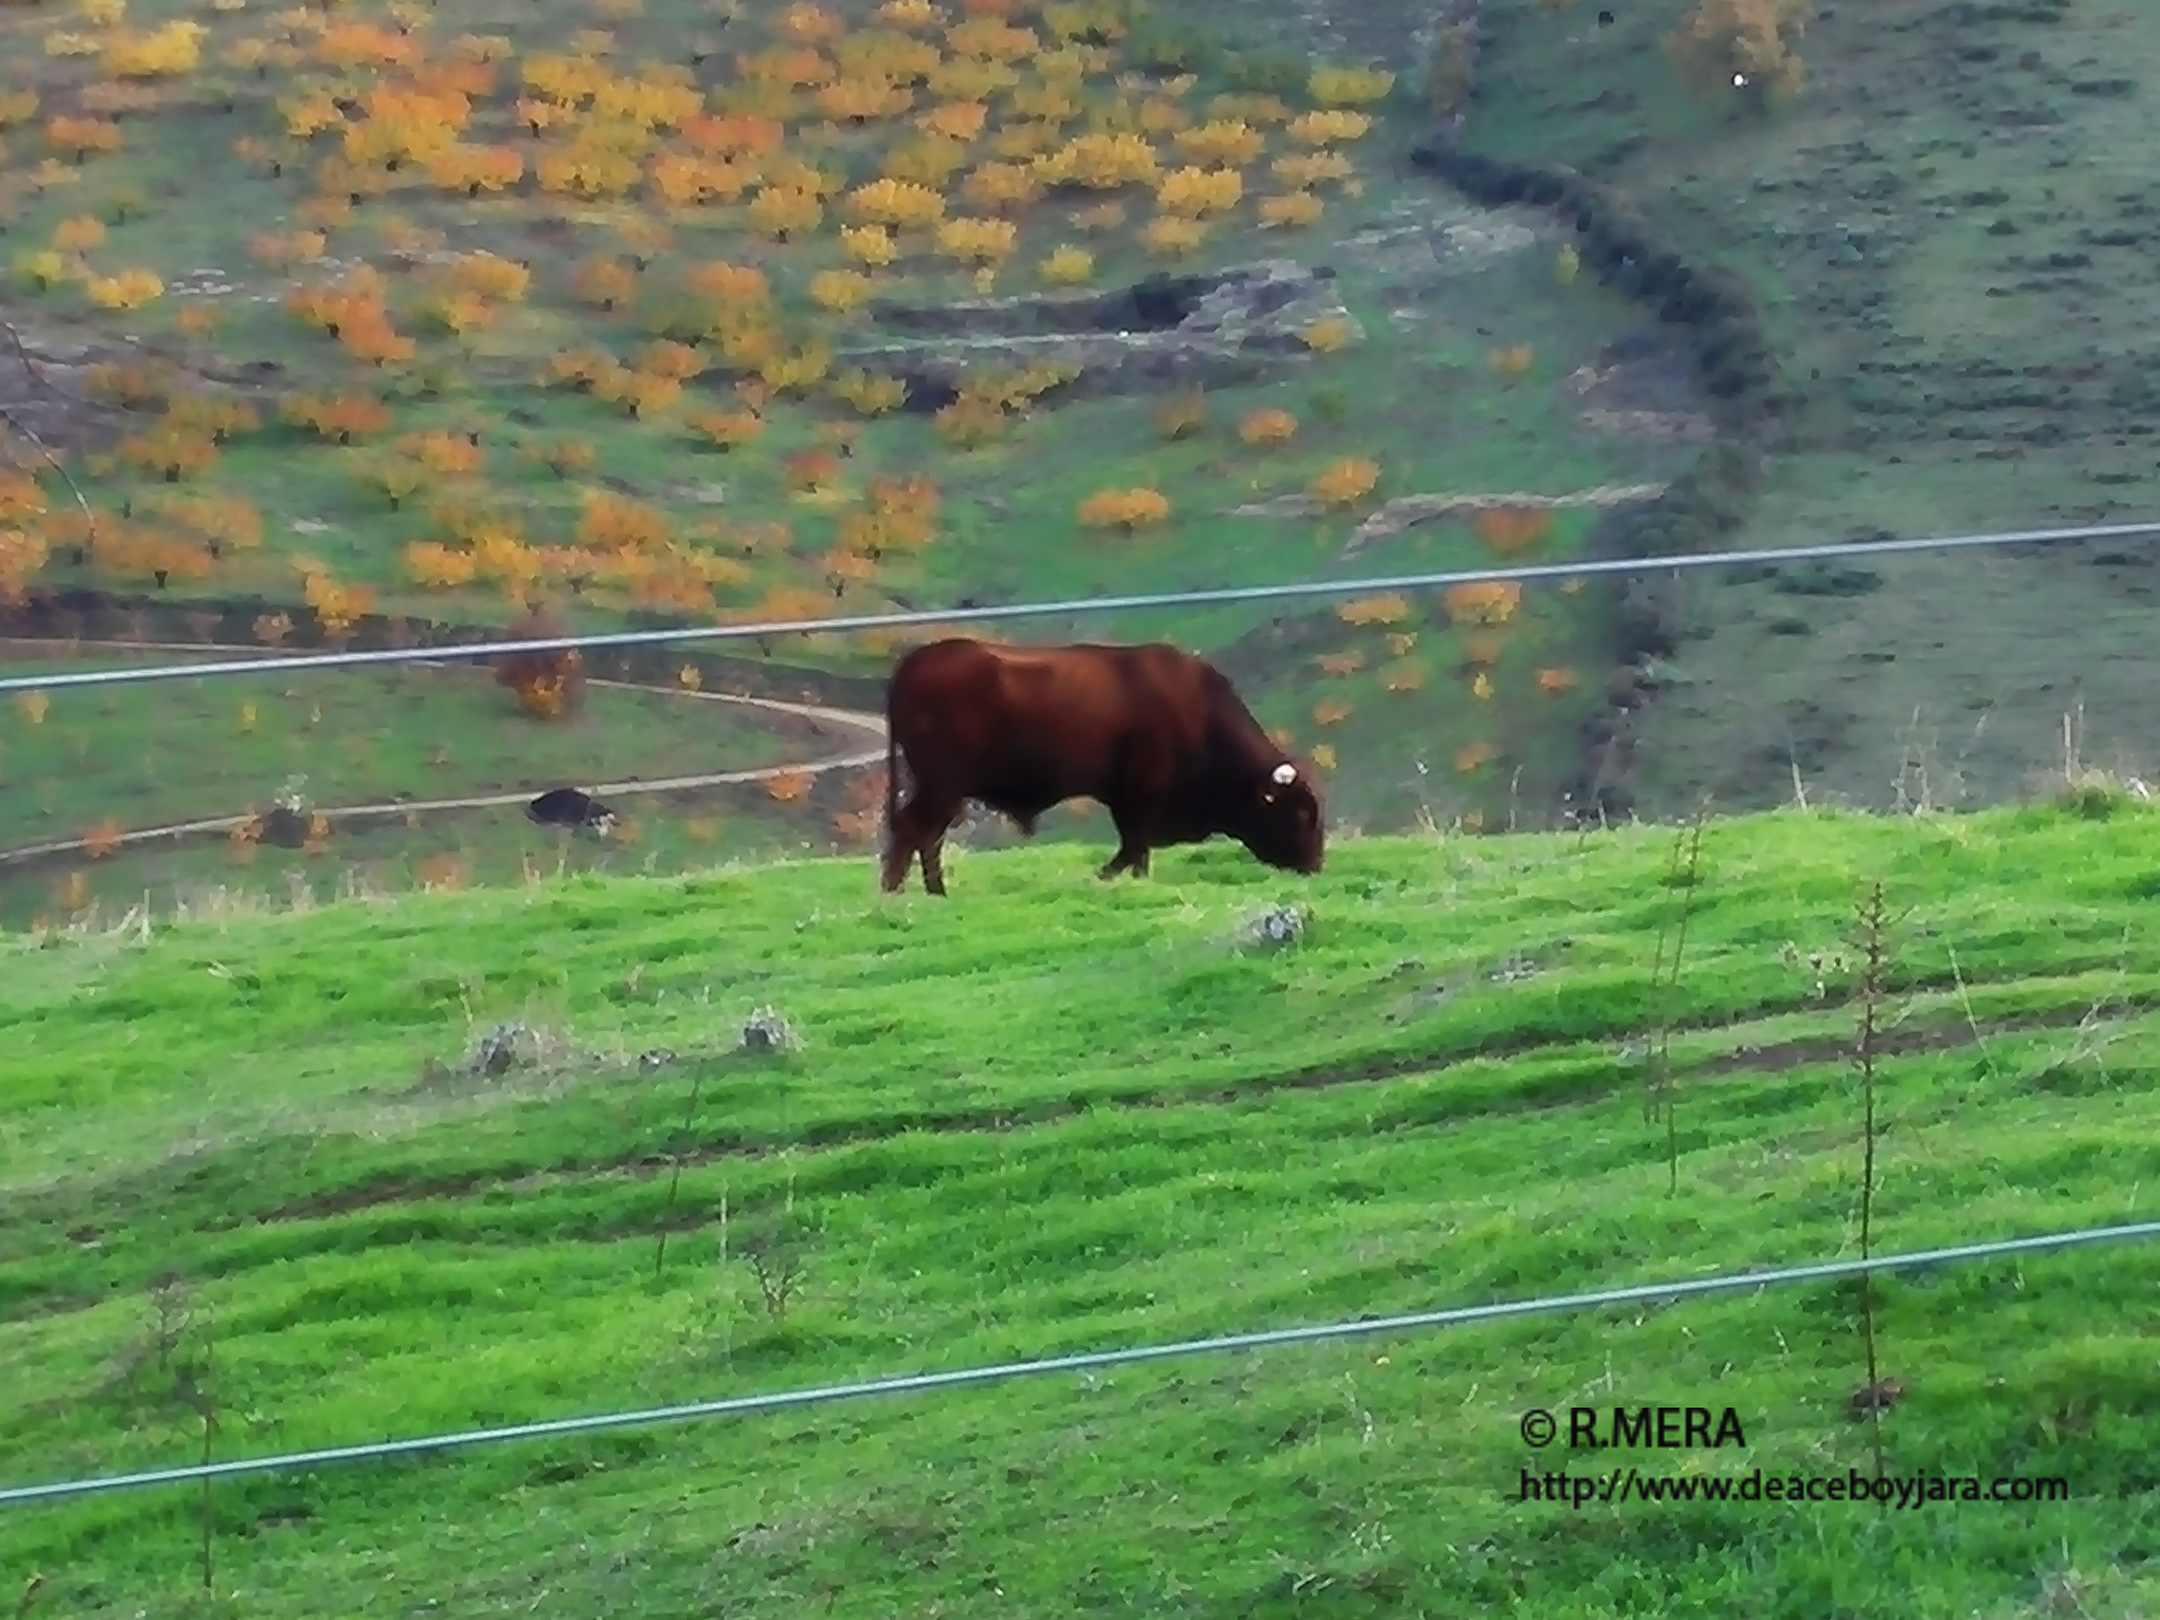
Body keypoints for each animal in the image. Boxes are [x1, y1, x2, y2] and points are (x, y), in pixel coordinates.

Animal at [872, 639, 1313, 902]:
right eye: (1302, 813)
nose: (1315, 865)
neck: (1198, 710)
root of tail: (918, 660)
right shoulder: (1141, 793)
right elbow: (1133, 843)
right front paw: (1104, 878)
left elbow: (1137, 846)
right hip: (942, 785)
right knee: (915, 830)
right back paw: (896, 894)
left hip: (943, 790)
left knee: (925, 834)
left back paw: (932, 893)